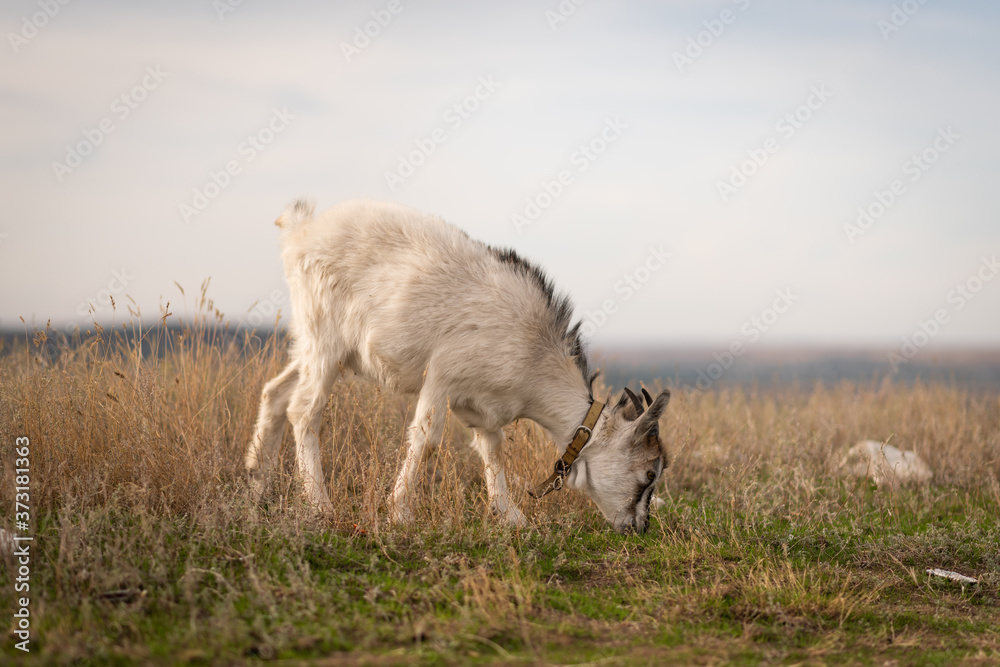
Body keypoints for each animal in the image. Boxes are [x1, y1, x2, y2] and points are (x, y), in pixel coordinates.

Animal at [245, 199, 671, 533]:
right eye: (650, 473)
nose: (640, 527)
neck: (535, 355)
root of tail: (301, 230)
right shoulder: (443, 374)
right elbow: (427, 437)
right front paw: (401, 512)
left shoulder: (482, 405)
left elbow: (492, 450)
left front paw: (513, 517)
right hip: (325, 337)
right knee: (304, 410)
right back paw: (320, 505)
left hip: (314, 345)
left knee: (275, 392)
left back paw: (257, 484)